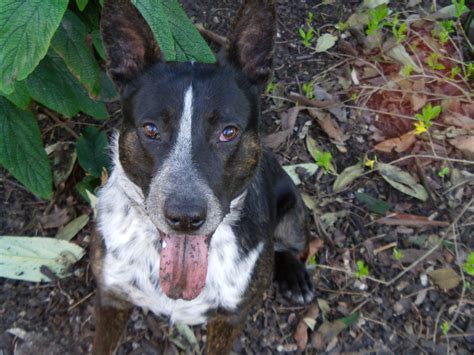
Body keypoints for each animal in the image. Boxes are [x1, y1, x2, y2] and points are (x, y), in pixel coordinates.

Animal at [91, 0, 314, 354]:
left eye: (228, 132)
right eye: (151, 129)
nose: (185, 217)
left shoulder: (231, 318)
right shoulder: (112, 298)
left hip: (294, 214)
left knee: (292, 246)